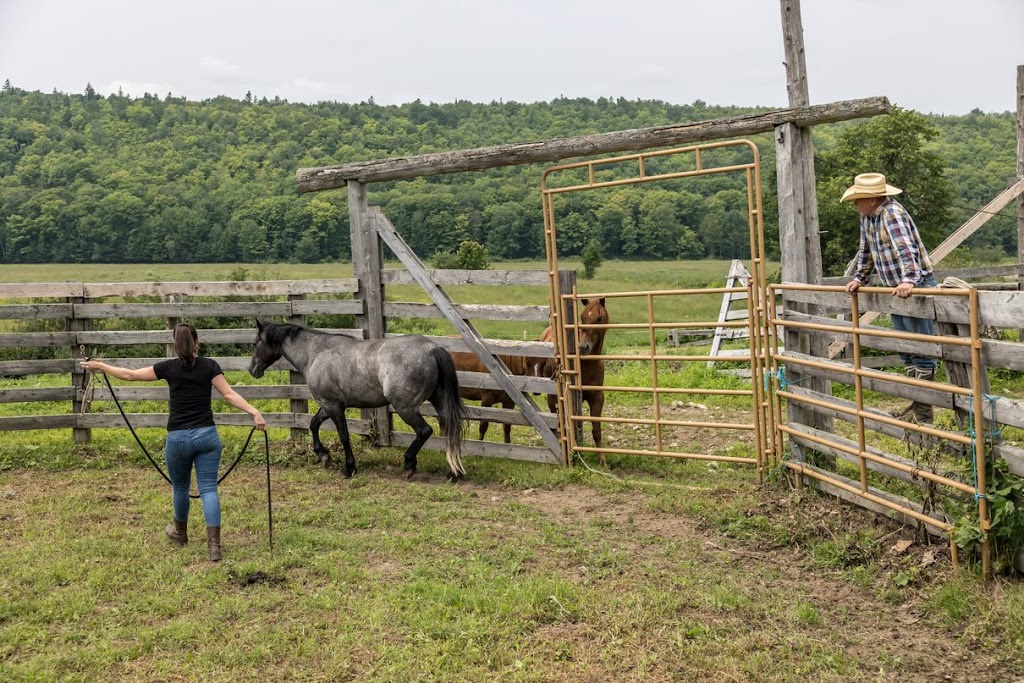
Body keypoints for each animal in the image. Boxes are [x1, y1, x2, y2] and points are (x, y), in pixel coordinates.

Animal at [249, 321, 466, 481]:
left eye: (256, 343)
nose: (252, 370)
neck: (316, 353)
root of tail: (432, 348)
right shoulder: (328, 405)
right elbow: (313, 424)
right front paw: (323, 455)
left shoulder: (333, 406)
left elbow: (344, 436)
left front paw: (348, 468)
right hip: (438, 402)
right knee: (451, 429)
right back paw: (453, 472)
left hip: (406, 408)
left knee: (424, 431)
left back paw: (409, 464)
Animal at [540, 296, 610, 464]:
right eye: (583, 317)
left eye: (599, 318)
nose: (583, 347)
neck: (587, 365)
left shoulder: (597, 398)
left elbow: (596, 430)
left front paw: (602, 460)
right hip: (553, 396)